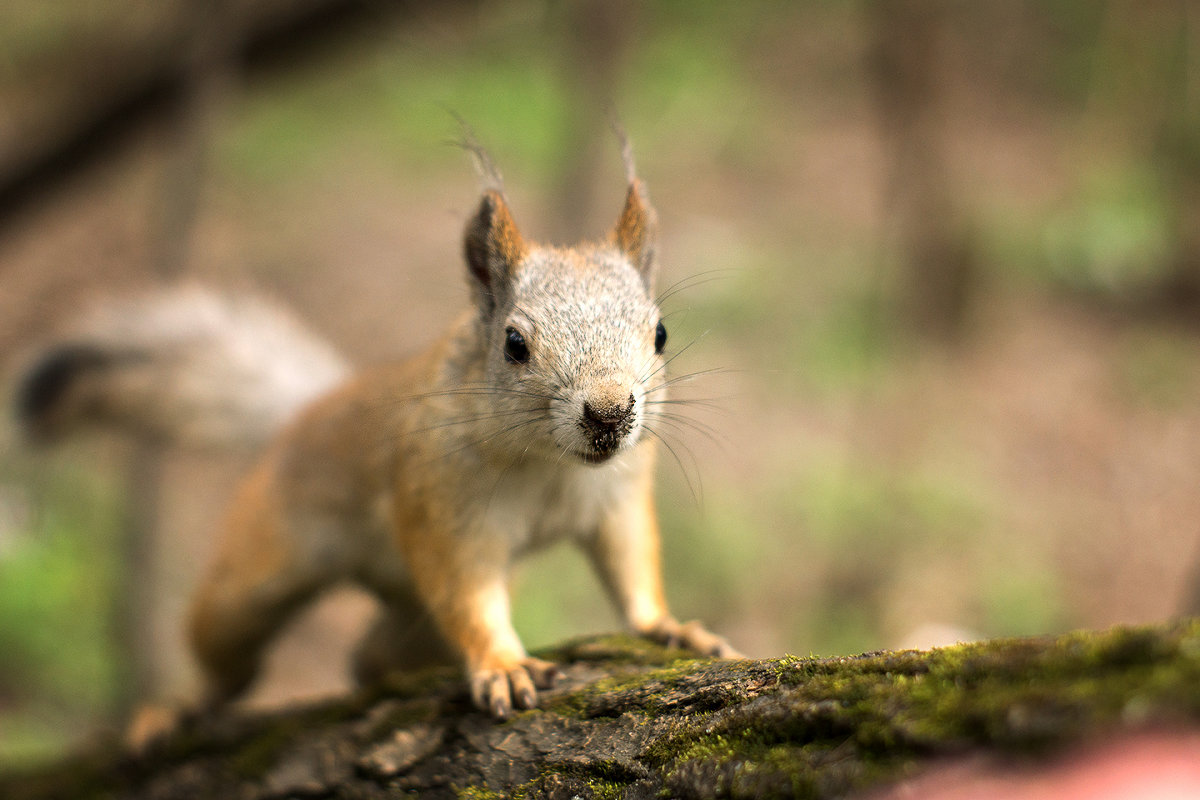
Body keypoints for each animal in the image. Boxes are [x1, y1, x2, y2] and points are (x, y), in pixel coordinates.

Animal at [14, 136, 734, 719]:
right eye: (514, 344)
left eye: (660, 334)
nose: (610, 413)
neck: (549, 463)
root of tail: (307, 411)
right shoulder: (440, 500)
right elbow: (466, 591)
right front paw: (503, 664)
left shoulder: (618, 495)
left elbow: (631, 565)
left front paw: (669, 627)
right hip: (257, 566)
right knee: (227, 650)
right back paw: (177, 708)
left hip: (412, 623)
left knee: (372, 656)